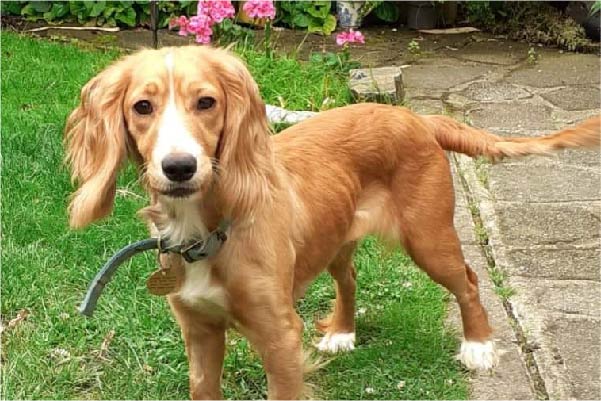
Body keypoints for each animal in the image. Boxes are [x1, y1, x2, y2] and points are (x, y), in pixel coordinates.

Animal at [63, 46, 596, 396]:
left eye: (207, 102)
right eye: (142, 107)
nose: (179, 168)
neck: (209, 229)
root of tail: (418, 119)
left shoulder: (279, 335)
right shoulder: (199, 331)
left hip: (428, 236)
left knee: (466, 279)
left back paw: (478, 346)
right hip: (337, 236)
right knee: (350, 276)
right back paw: (342, 331)